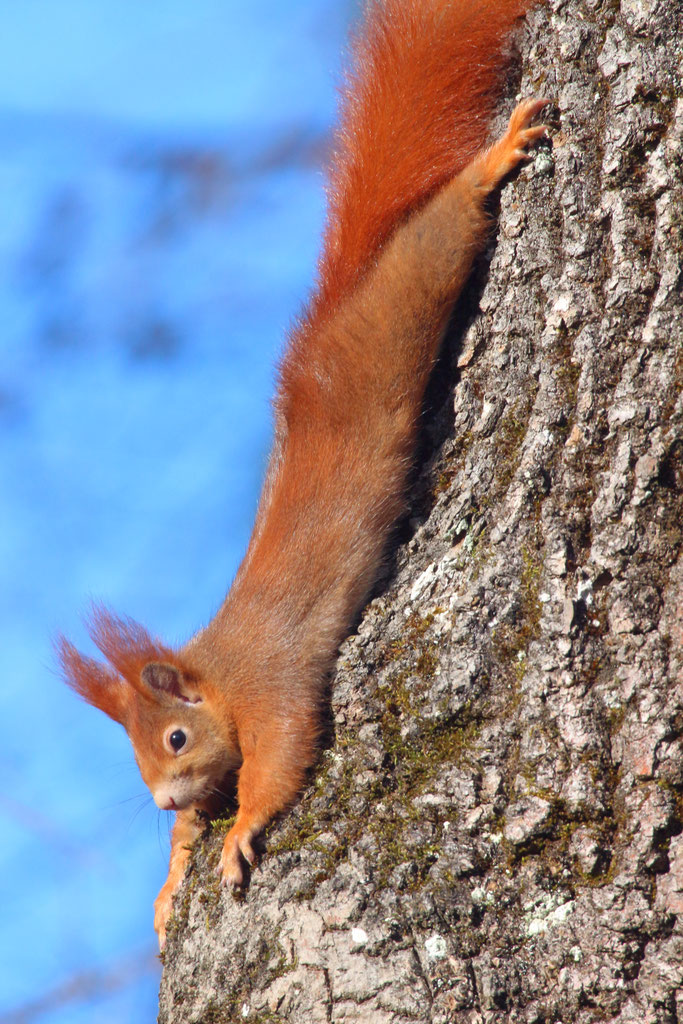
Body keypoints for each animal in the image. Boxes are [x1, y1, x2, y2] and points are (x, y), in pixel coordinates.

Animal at [58, 0, 547, 949]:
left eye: (173, 740)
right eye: (134, 753)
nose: (158, 796)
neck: (216, 670)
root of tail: (322, 331)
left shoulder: (274, 686)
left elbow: (282, 759)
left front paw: (238, 829)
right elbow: (203, 815)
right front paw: (169, 878)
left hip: (398, 312)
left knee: (434, 238)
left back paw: (492, 161)